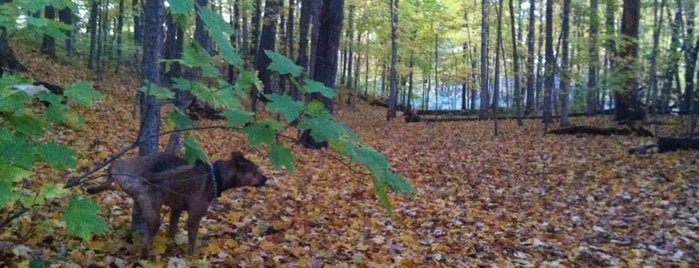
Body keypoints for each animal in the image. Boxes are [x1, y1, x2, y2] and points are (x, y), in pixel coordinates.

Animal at [89, 151, 270, 258]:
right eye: (255, 171)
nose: (266, 179)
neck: (216, 176)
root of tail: (141, 178)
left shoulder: (176, 210)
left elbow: (172, 231)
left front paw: (171, 245)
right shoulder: (194, 218)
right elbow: (192, 241)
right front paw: (192, 257)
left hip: (124, 169)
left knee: (110, 172)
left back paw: (92, 188)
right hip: (154, 214)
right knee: (146, 243)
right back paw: (146, 257)